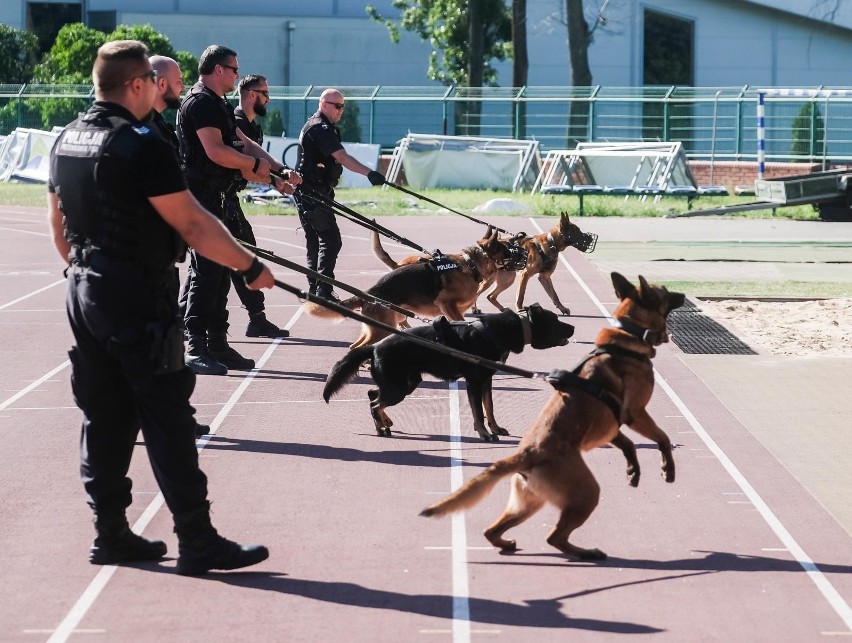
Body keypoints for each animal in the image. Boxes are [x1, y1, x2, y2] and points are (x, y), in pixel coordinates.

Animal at [302, 231, 510, 350]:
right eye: (508, 251)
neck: (471, 264)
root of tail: (370, 293)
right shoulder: (447, 304)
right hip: (382, 328)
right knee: (358, 347)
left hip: (380, 326)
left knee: (355, 345)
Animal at [322, 304, 576, 440]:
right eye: (555, 320)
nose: (573, 327)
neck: (498, 331)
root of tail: (374, 347)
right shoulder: (474, 382)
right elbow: (478, 412)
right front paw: (484, 434)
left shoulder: (486, 381)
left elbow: (489, 408)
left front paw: (495, 428)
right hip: (400, 386)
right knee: (374, 403)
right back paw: (381, 428)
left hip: (404, 382)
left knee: (372, 394)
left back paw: (386, 421)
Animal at [420, 274, 684, 560]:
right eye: (665, 292)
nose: (682, 295)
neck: (626, 337)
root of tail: (526, 455)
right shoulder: (635, 414)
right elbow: (662, 437)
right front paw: (668, 467)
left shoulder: (612, 425)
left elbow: (627, 444)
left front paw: (633, 469)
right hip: (586, 493)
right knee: (554, 537)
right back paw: (587, 553)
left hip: (529, 502)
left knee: (493, 531)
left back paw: (508, 544)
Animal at [472, 214, 600, 316]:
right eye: (576, 231)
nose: (590, 238)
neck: (551, 242)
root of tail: (484, 244)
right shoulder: (525, 275)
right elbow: (521, 295)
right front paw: (520, 309)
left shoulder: (545, 277)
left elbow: (554, 295)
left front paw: (562, 308)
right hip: (493, 280)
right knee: (477, 292)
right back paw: (474, 308)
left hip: (508, 278)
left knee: (490, 296)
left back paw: (503, 309)